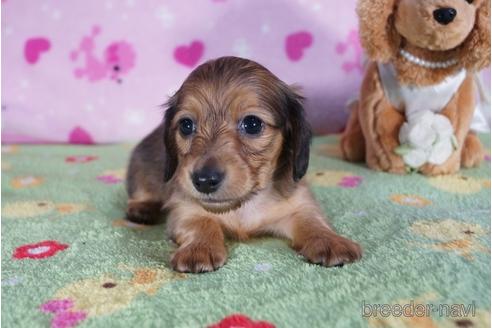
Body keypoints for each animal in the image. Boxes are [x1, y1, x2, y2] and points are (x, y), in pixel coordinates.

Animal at [126, 57, 362, 274]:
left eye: (252, 124)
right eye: (186, 125)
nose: (204, 180)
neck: (243, 205)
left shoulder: (299, 205)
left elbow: (312, 221)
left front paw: (330, 241)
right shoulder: (185, 209)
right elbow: (202, 223)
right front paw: (199, 248)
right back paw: (142, 209)